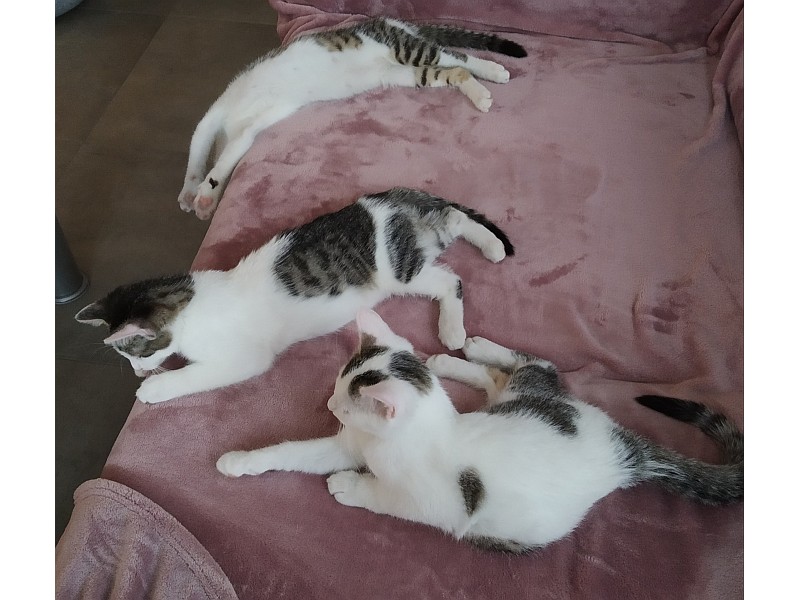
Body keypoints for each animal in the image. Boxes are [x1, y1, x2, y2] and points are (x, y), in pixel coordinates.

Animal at [75, 188, 514, 405]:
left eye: (135, 352)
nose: (136, 371)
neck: (192, 301)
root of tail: (391, 199)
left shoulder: (244, 357)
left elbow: (199, 374)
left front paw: (154, 388)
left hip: (397, 268)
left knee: (450, 278)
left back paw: (453, 328)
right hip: (419, 249)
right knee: (453, 223)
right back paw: (491, 247)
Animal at [177, 17, 527, 220]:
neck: (228, 128)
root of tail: (390, 21)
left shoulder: (239, 127)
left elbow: (221, 163)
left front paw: (207, 193)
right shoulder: (218, 123)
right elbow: (197, 152)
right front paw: (191, 192)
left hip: (406, 48)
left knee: (458, 56)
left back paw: (494, 71)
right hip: (404, 73)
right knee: (454, 70)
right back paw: (480, 92)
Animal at [217, 309, 744, 554]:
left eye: (346, 404)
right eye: (337, 391)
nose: (329, 405)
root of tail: (621, 446)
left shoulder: (437, 503)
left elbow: (388, 499)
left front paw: (349, 485)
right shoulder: (348, 445)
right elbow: (293, 451)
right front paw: (241, 461)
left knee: (537, 365)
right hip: (520, 401)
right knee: (514, 375)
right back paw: (462, 355)